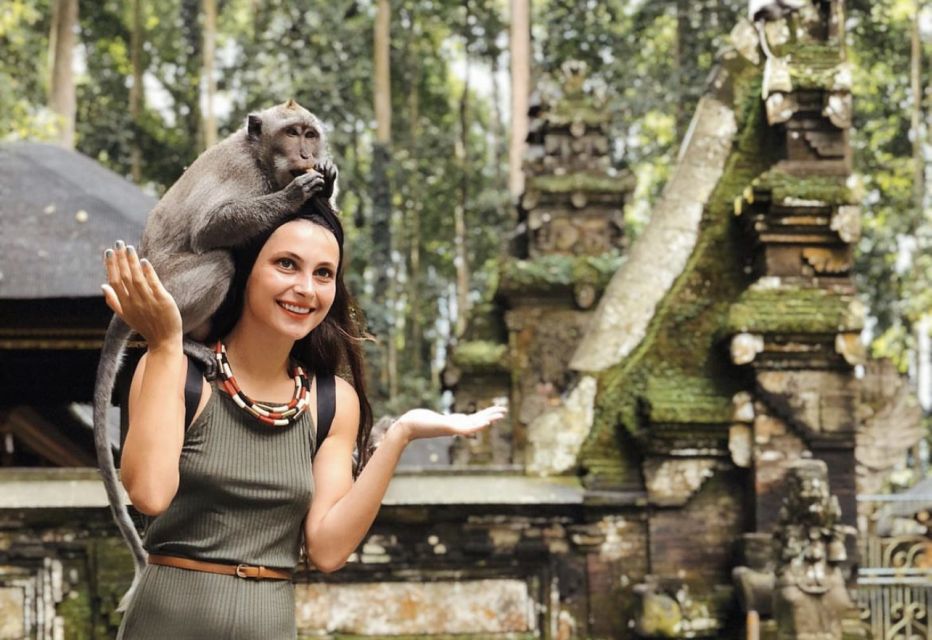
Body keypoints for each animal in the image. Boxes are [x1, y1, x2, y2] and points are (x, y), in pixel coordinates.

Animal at [92, 99, 339, 610]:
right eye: (293, 133)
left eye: (310, 134)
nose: (307, 153)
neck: (262, 160)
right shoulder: (241, 174)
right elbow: (212, 227)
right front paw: (296, 193)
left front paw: (326, 179)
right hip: (169, 286)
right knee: (221, 259)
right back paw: (184, 339)